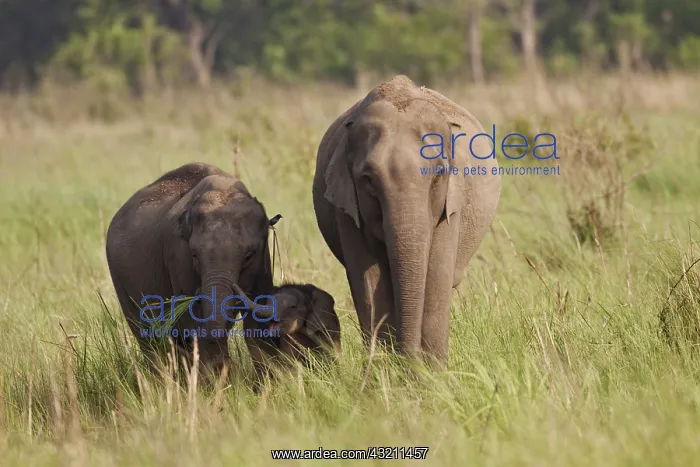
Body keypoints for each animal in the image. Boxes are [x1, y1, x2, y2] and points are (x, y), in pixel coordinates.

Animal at [105, 162, 278, 378]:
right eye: (195, 255)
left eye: (249, 256)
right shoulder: (178, 255)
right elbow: (192, 319)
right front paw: (215, 381)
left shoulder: (263, 262)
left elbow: (259, 315)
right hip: (120, 280)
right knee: (147, 336)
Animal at [312, 75, 501, 367]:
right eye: (368, 179)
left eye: (438, 174)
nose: (409, 362)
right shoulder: (346, 209)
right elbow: (368, 283)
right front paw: (385, 371)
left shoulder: (451, 206)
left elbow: (435, 277)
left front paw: (432, 374)